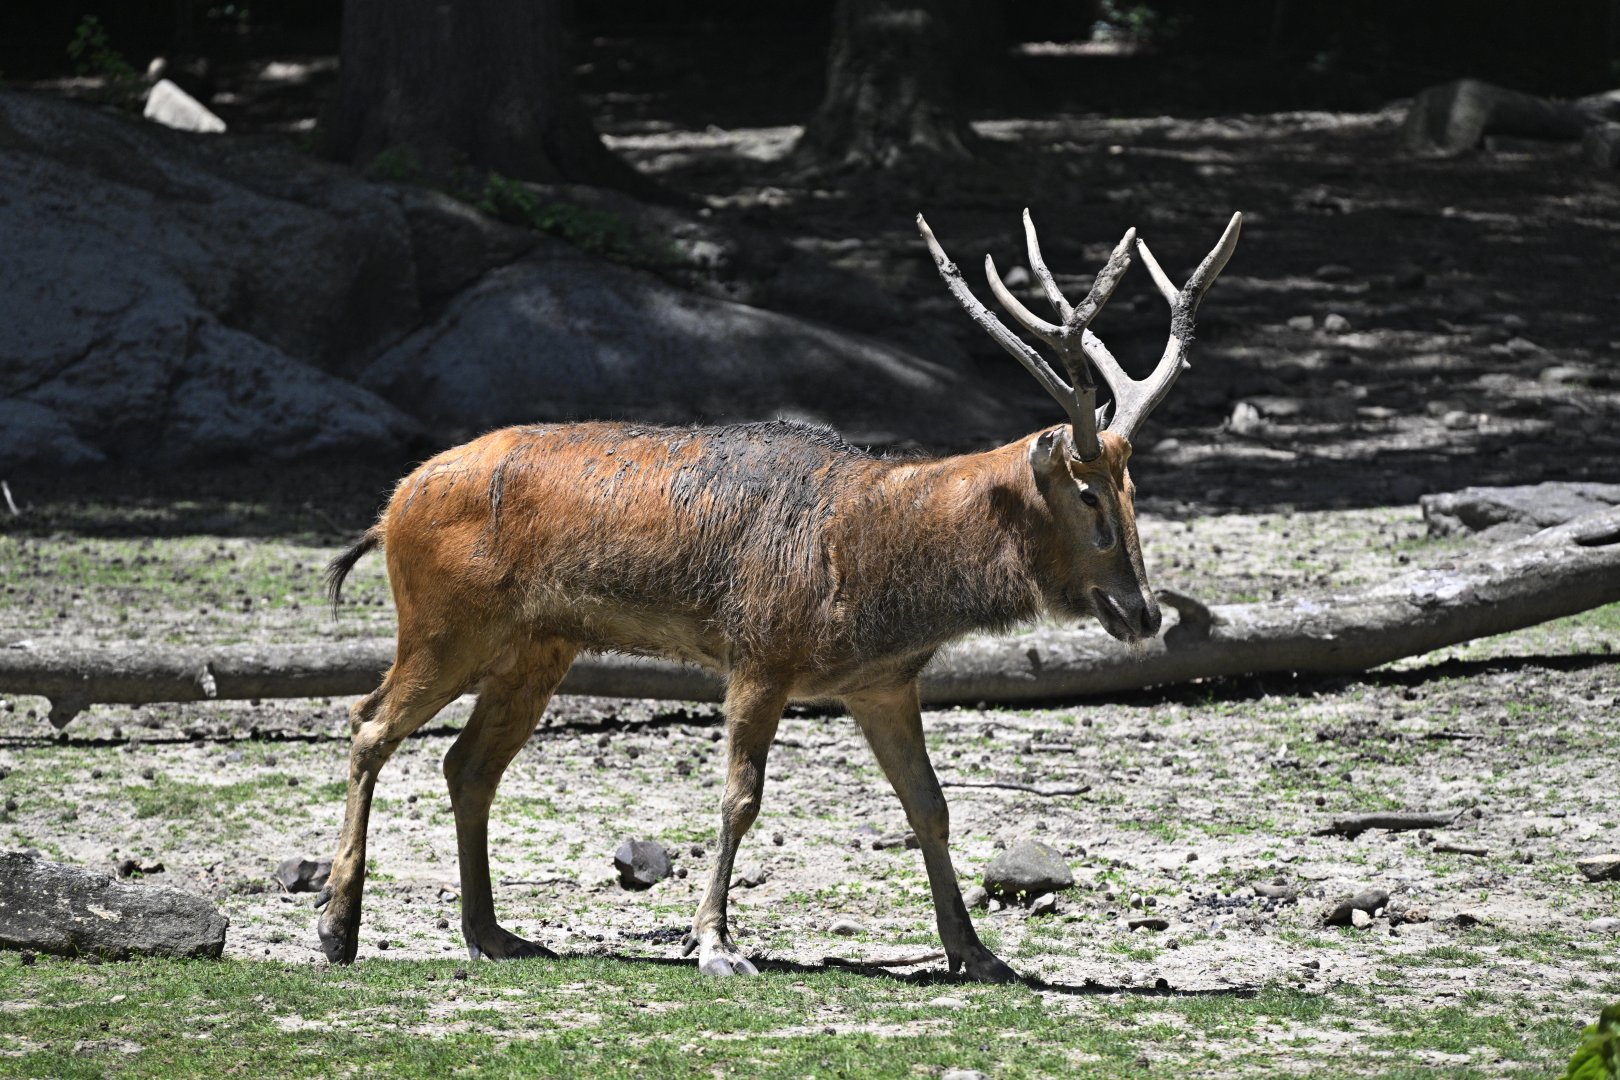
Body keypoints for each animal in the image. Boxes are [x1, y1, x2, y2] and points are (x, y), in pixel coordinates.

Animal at [316, 207, 1242, 982]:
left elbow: (931, 806)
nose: (1142, 611)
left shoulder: (882, 682)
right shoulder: (759, 652)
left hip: (540, 645)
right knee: (368, 722)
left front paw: (977, 952)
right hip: (444, 622)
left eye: (1134, 489)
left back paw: (493, 933)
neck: (873, 569)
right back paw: (338, 928)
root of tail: (392, 505)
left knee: (467, 763)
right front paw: (715, 946)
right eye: (1087, 494)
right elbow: (740, 797)